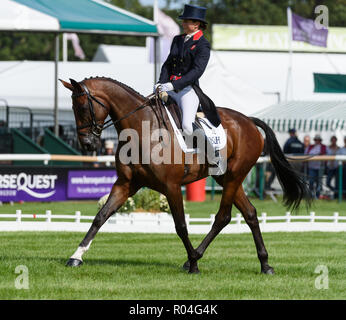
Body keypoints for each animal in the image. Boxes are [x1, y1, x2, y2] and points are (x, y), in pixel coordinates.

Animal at [60, 76, 310, 274]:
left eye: (82, 108)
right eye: (72, 108)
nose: (87, 144)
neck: (143, 130)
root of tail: (249, 121)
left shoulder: (171, 186)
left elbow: (180, 226)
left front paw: (194, 265)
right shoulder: (125, 184)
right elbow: (101, 216)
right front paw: (76, 256)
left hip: (234, 176)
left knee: (223, 217)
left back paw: (195, 258)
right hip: (226, 178)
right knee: (249, 214)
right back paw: (265, 264)